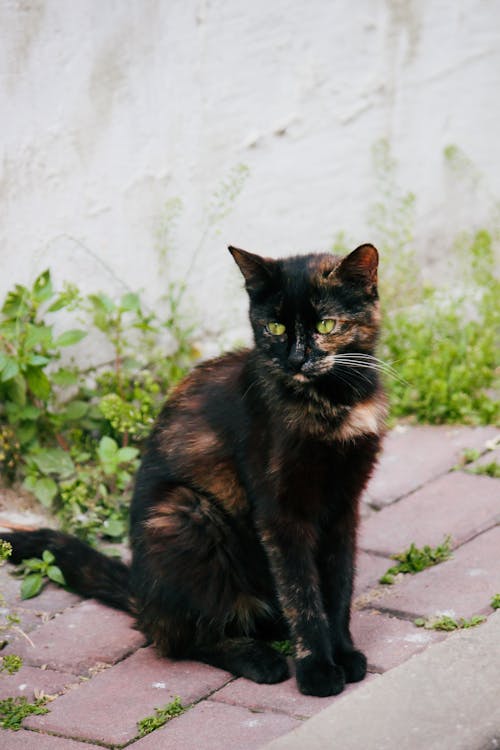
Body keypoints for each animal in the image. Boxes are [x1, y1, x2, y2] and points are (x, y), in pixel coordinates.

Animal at [1, 247, 386, 700]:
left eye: (326, 325)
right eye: (273, 327)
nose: (295, 359)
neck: (332, 405)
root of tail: (143, 595)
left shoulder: (344, 505)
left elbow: (338, 584)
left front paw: (343, 652)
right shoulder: (280, 514)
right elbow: (301, 593)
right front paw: (318, 669)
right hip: (186, 514)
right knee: (180, 640)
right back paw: (259, 659)